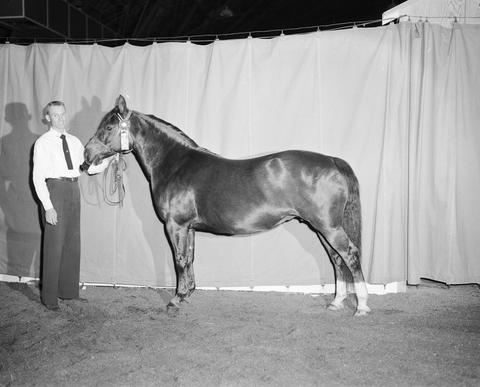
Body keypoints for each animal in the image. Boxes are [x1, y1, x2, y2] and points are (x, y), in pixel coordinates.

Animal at [84, 95, 372, 316]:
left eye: (108, 128)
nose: (86, 156)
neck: (176, 164)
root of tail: (332, 160)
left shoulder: (175, 226)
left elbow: (179, 260)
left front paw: (175, 300)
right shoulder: (188, 228)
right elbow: (189, 258)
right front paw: (188, 293)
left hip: (328, 227)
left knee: (350, 255)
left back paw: (362, 307)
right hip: (322, 228)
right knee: (336, 259)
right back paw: (336, 302)